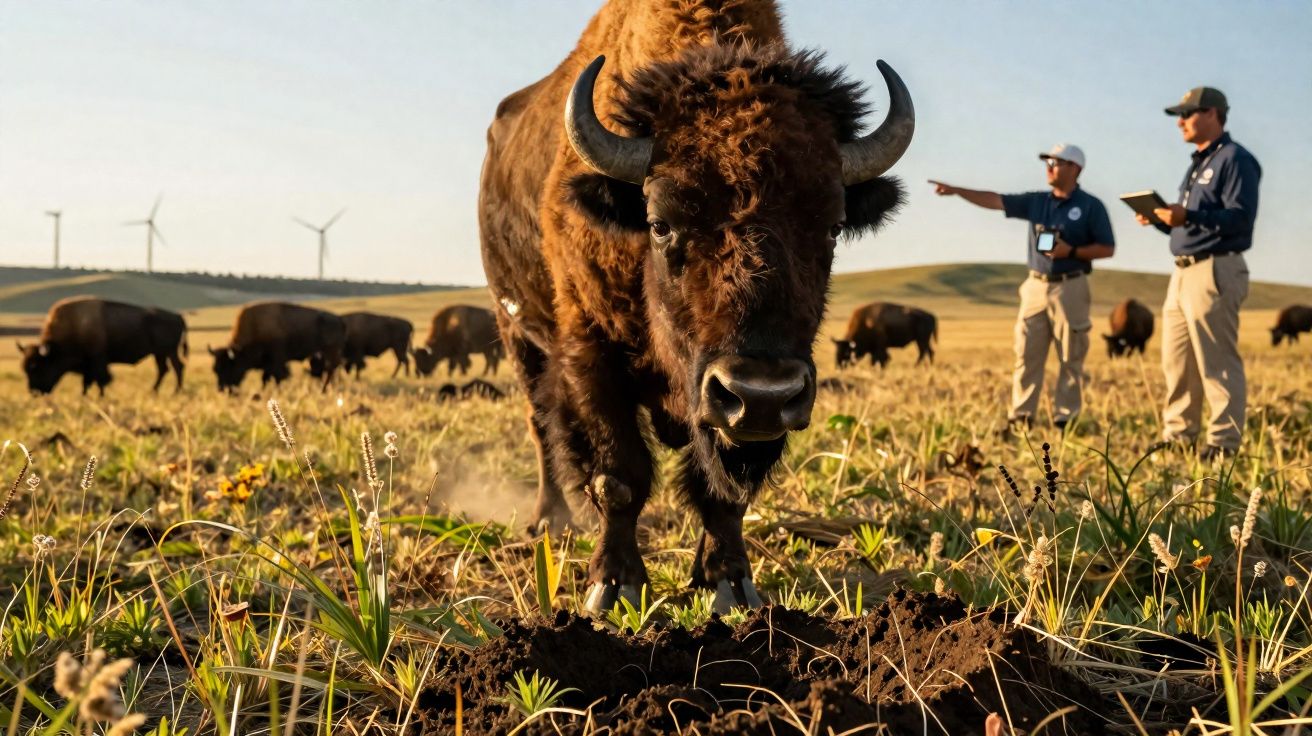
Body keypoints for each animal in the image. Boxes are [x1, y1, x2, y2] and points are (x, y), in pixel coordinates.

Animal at [19, 296, 187, 395]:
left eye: (36, 367)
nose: (34, 391)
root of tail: (178, 316)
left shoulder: (96, 360)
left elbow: (100, 379)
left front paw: (99, 396)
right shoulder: (87, 365)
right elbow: (88, 381)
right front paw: (85, 396)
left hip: (168, 351)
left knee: (176, 367)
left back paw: (173, 391)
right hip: (160, 353)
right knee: (165, 369)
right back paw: (154, 391)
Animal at [209, 302, 345, 392]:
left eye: (229, 366)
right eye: (215, 369)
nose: (222, 390)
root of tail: (339, 319)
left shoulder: (277, 359)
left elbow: (277, 376)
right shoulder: (268, 364)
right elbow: (266, 378)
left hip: (330, 351)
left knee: (331, 369)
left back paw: (324, 389)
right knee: (331, 370)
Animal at [479, 0, 912, 612]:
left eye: (832, 227)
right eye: (660, 222)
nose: (761, 393)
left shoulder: (734, 419)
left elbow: (721, 492)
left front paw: (729, 583)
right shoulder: (591, 351)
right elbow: (619, 476)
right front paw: (613, 587)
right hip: (516, 330)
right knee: (542, 428)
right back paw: (549, 522)